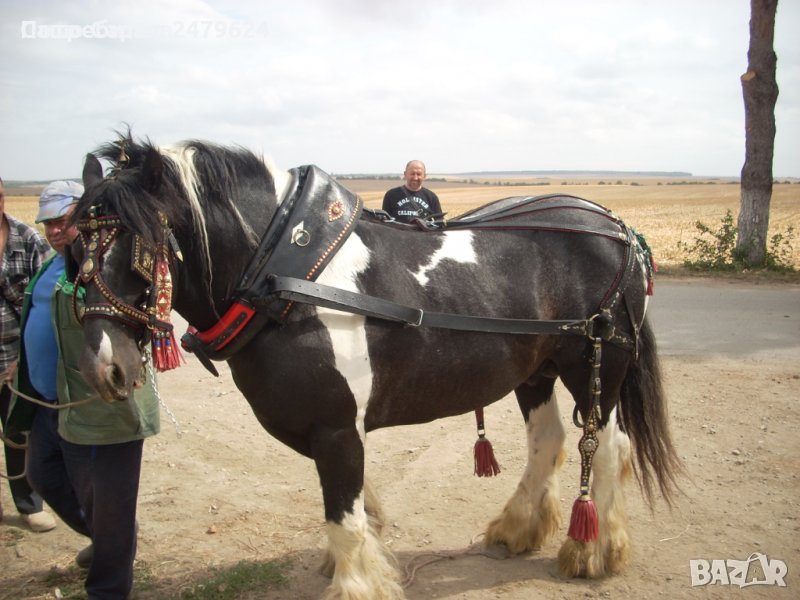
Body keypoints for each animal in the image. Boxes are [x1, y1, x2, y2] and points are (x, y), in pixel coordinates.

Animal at [72, 136, 680, 600]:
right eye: (75, 245)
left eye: (140, 248)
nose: (106, 368)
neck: (285, 277)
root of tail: (618, 228)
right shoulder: (326, 428)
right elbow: (357, 505)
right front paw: (368, 553)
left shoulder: (336, 427)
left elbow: (344, 518)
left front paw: (356, 582)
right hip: (536, 369)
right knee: (548, 440)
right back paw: (516, 529)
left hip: (595, 369)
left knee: (608, 448)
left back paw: (593, 550)